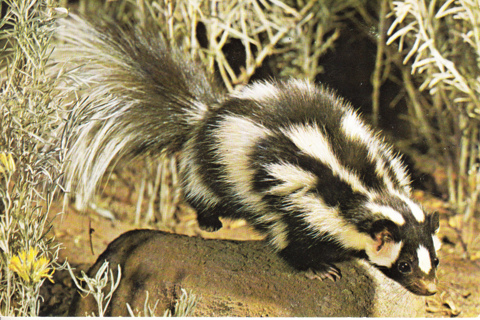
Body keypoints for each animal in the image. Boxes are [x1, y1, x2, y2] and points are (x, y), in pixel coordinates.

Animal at [54, 14, 440, 296]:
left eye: (434, 261)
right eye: (404, 264)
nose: (430, 289)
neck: (367, 188)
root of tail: (206, 114)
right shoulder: (302, 197)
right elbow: (291, 238)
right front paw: (320, 270)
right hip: (220, 162)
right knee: (203, 190)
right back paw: (209, 221)